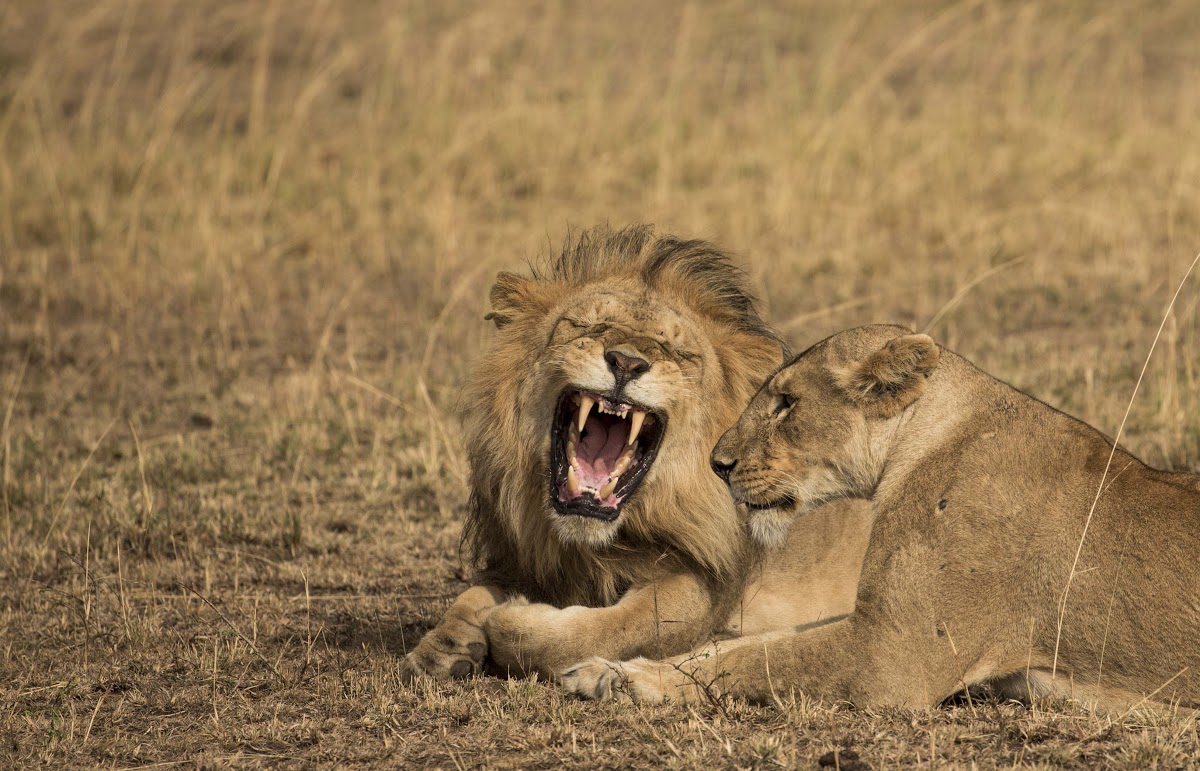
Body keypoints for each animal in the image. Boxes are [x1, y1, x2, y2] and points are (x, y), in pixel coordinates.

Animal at [403, 223, 873, 677]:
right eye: (585, 326)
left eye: (678, 352)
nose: (626, 362)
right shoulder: (526, 556)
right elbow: (471, 593)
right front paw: (443, 646)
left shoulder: (702, 585)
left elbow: (606, 631)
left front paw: (508, 621)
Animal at [564, 321, 1200, 710]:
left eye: (787, 403)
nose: (718, 465)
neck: (921, 441)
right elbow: (745, 644)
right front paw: (604, 669)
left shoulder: (892, 656)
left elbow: (761, 659)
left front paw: (633, 679)